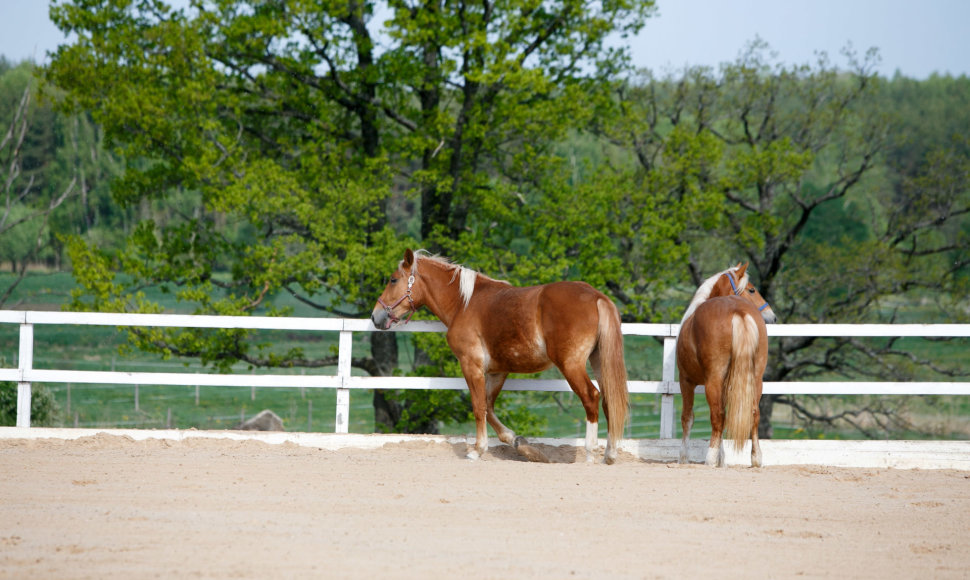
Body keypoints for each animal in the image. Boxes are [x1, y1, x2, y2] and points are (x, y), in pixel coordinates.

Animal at [370, 248, 628, 462]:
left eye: (393, 280)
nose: (375, 316)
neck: (463, 304)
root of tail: (596, 296)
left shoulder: (471, 365)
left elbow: (478, 407)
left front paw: (477, 450)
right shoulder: (498, 371)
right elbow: (489, 407)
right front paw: (519, 443)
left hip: (571, 365)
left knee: (591, 397)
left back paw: (590, 453)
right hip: (599, 362)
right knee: (609, 400)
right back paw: (610, 453)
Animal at [672, 262, 780, 466]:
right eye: (752, 289)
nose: (772, 317)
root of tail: (738, 311)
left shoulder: (686, 381)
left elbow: (687, 418)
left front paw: (684, 457)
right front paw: (721, 459)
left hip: (713, 380)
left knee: (718, 415)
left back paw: (710, 458)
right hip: (756, 380)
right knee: (754, 414)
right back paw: (756, 458)